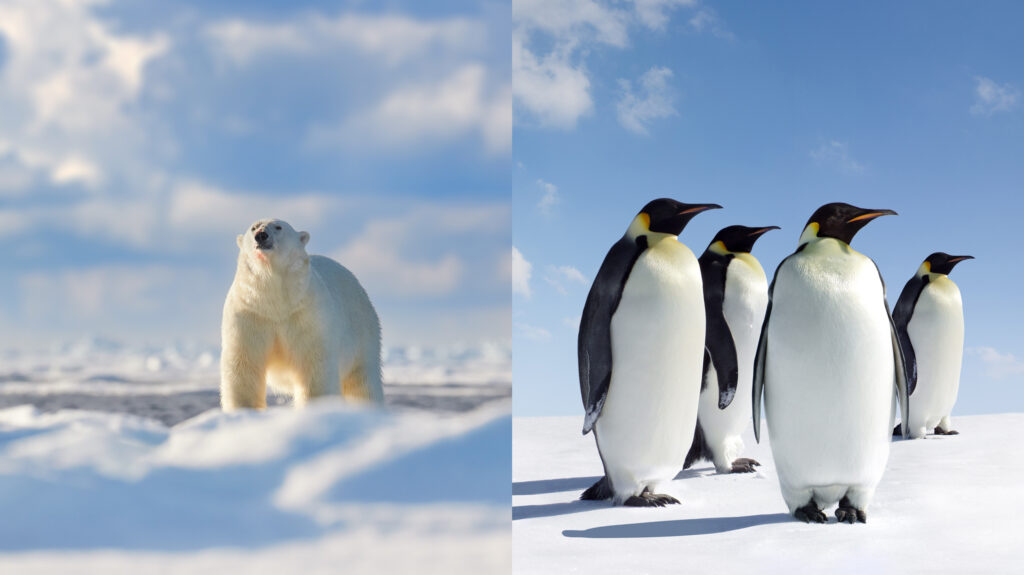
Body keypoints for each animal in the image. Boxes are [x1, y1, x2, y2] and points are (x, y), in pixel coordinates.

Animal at [220, 218, 384, 410]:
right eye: (253, 227)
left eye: (278, 227)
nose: (261, 235)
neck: (275, 302)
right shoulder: (250, 313)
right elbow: (245, 363)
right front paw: (244, 410)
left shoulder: (306, 315)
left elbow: (313, 364)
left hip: (362, 333)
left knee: (362, 382)